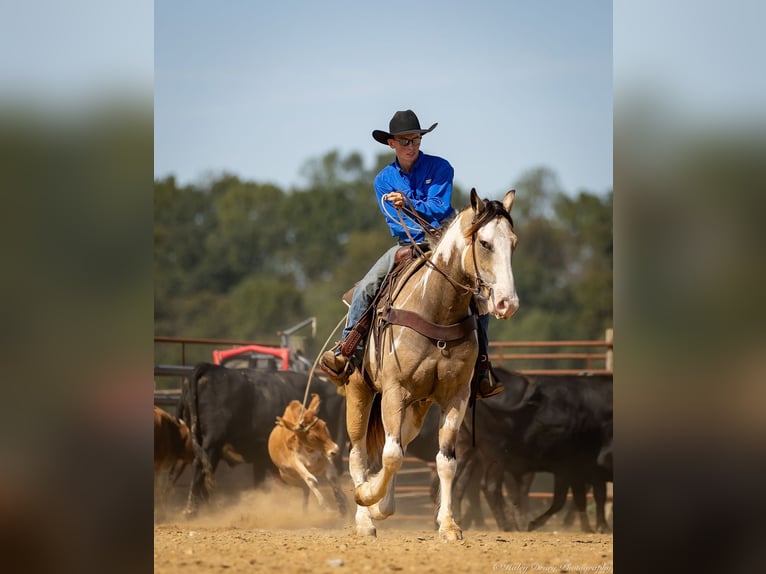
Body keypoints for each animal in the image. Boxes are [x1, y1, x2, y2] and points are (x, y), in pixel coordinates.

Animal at [178, 364, 346, 516]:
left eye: (325, 427)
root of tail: (208, 367)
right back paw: (192, 510)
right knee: (200, 467)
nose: (335, 450)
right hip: (212, 443)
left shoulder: (261, 459)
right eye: (314, 435)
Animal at [348, 190, 520, 544]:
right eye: (485, 243)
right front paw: (369, 498)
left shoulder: (456, 397)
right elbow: (391, 454)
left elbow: (445, 461)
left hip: (418, 407)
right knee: (358, 452)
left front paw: (449, 525)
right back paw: (365, 515)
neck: (437, 309)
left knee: (398, 443)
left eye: (513, 242)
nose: (506, 303)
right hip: (360, 390)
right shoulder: (395, 392)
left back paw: (381, 506)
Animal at [452, 368, 616, 536]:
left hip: (464, 445)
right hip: (495, 452)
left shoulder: (569, 470)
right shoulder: (582, 468)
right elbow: (592, 496)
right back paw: (507, 525)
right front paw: (600, 527)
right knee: (490, 487)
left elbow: (568, 499)